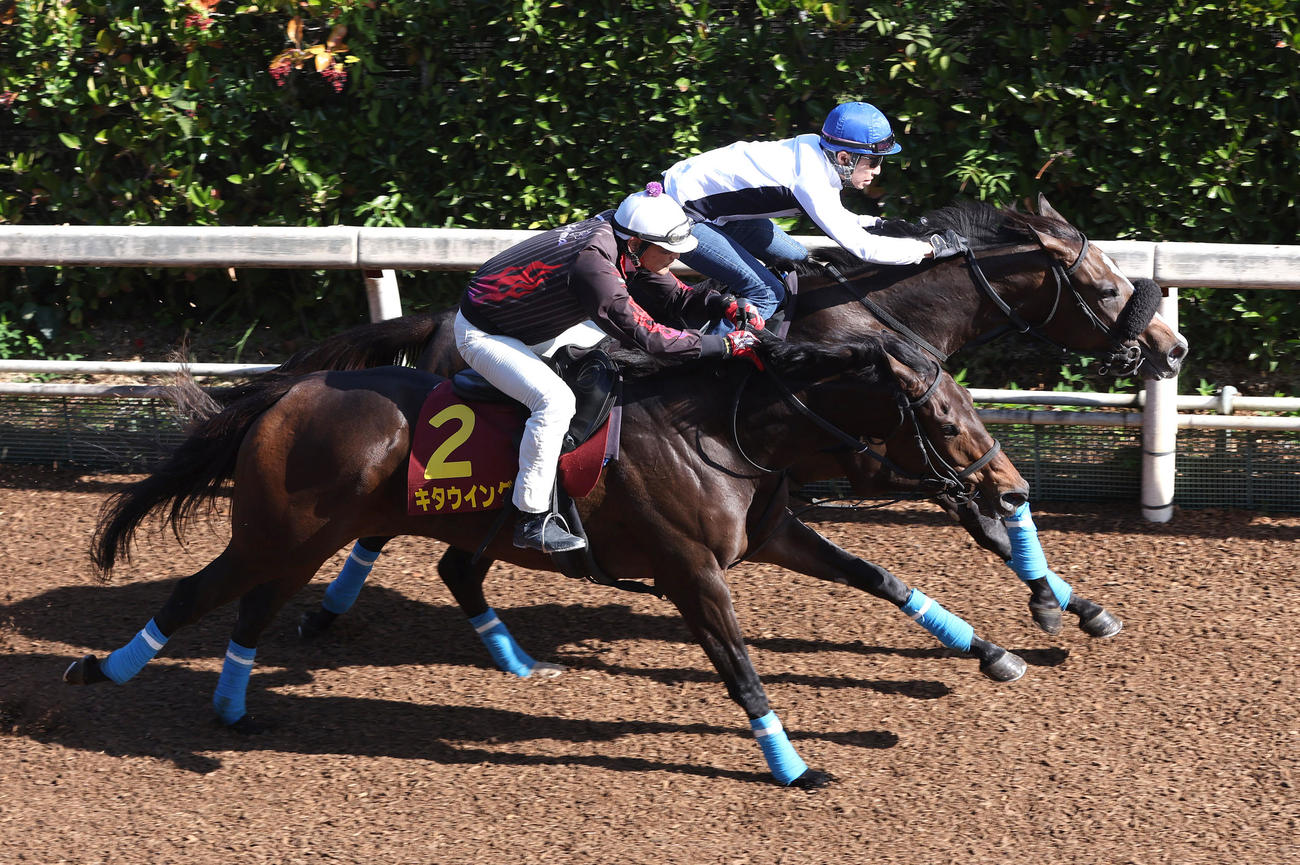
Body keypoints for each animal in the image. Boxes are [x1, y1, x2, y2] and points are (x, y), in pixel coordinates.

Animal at [65, 334, 1030, 788]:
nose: (1009, 489)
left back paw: (235, 706)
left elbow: (883, 578)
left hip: (317, 536)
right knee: (201, 592)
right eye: (945, 418)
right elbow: (742, 670)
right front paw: (792, 766)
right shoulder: (692, 571)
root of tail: (286, 394)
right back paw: (104, 670)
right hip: (282, 530)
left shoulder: (767, 535)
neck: (726, 432)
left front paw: (990, 650)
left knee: (268, 606)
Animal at [267, 195, 1178, 638]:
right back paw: (320, 614)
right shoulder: (880, 449)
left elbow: (986, 510)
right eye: (1102, 287)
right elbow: (983, 518)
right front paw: (1054, 602)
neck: (870, 315)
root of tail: (438, 323)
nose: (1170, 349)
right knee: (375, 531)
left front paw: (1073, 603)